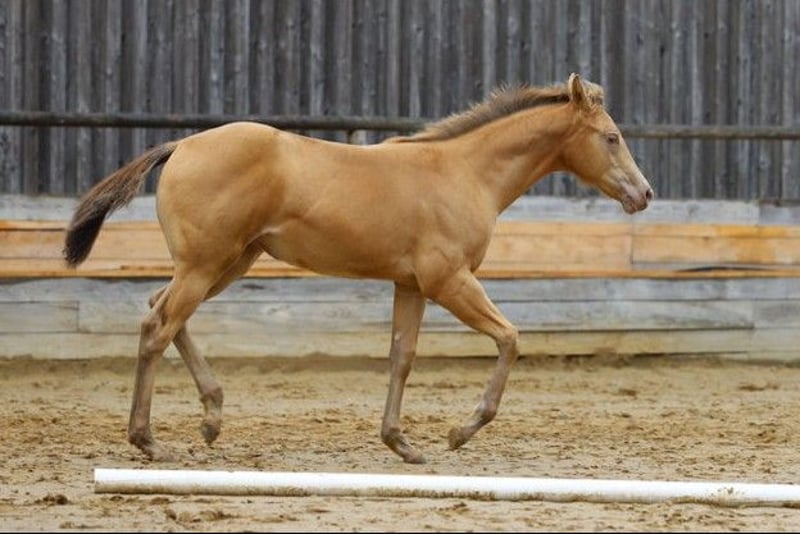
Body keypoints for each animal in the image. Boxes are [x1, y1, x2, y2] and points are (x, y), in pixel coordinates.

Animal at [63, 74, 653, 465]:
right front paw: (459, 433)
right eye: (611, 137)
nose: (644, 194)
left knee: (161, 312)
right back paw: (149, 439)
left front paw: (401, 443)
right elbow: (509, 338)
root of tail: (181, 143)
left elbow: (401, 357)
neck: (463, 172)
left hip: (227, 262)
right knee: (156, 327)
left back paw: (211, 417)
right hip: (206, 264)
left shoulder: (410, 285)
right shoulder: (449, 280)